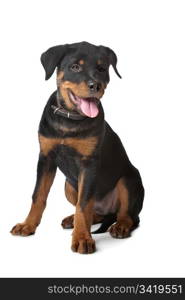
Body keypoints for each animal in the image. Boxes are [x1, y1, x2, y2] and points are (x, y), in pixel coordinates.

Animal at [10, 41, 145, 253]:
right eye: (74, 67)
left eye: (101, 68)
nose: (95, 85)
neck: (70, 120)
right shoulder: (46, 157)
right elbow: (38, 195)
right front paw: (28, 225)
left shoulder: (88, 164)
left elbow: (84, 204)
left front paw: (82, 238)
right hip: (69, 185)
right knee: (95, 213)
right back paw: (71, 219)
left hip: (128, 180)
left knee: (128, 215)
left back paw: (120, 226)